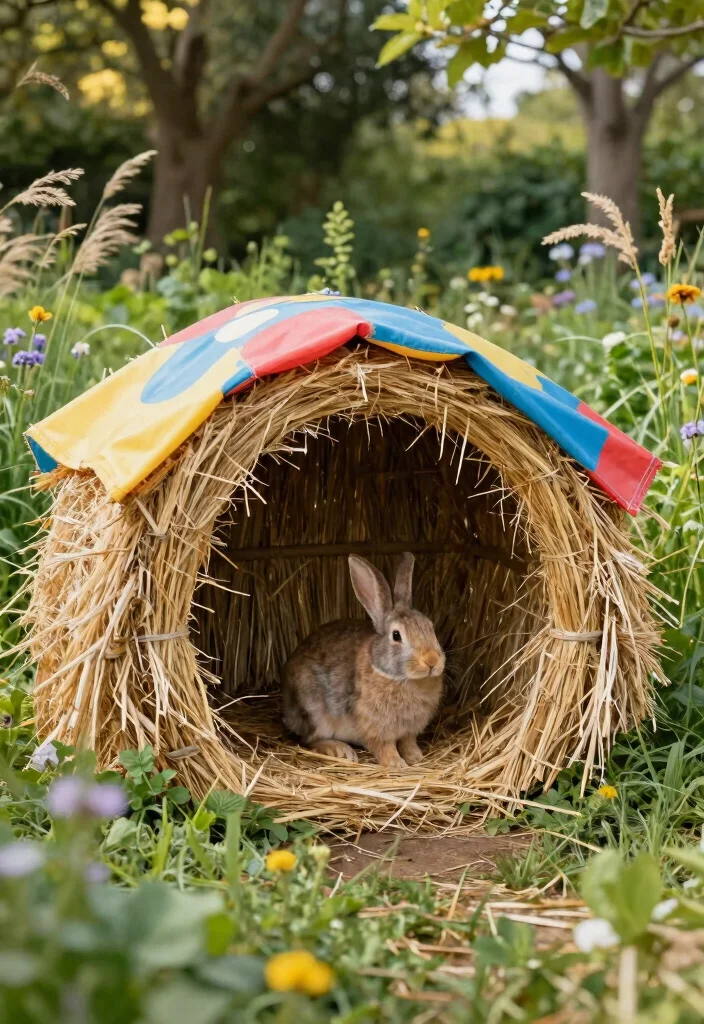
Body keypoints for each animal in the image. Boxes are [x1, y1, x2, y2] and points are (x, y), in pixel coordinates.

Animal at [282, 552, 445, 768]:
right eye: (396, 635)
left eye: (430, 626)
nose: (432, 660)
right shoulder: (376, 727)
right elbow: (385, 747)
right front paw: (397, 764)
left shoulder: (409, 730)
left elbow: (408, 742)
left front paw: (416, 758)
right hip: (314, 711)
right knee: (310, 740)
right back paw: (340, 750)